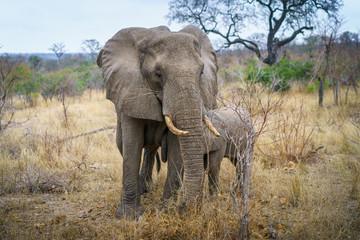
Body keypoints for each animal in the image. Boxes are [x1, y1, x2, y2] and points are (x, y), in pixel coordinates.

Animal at [97, 25, 218, 218]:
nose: (184, 206)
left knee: (151, 150)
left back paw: (148, 187)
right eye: (158, 74)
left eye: (201, 72)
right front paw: (128, 216)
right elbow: (132, 145)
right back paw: (143, 190)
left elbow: (176, 147)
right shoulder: (130, 90)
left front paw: (167, 211)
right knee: (124, 145)